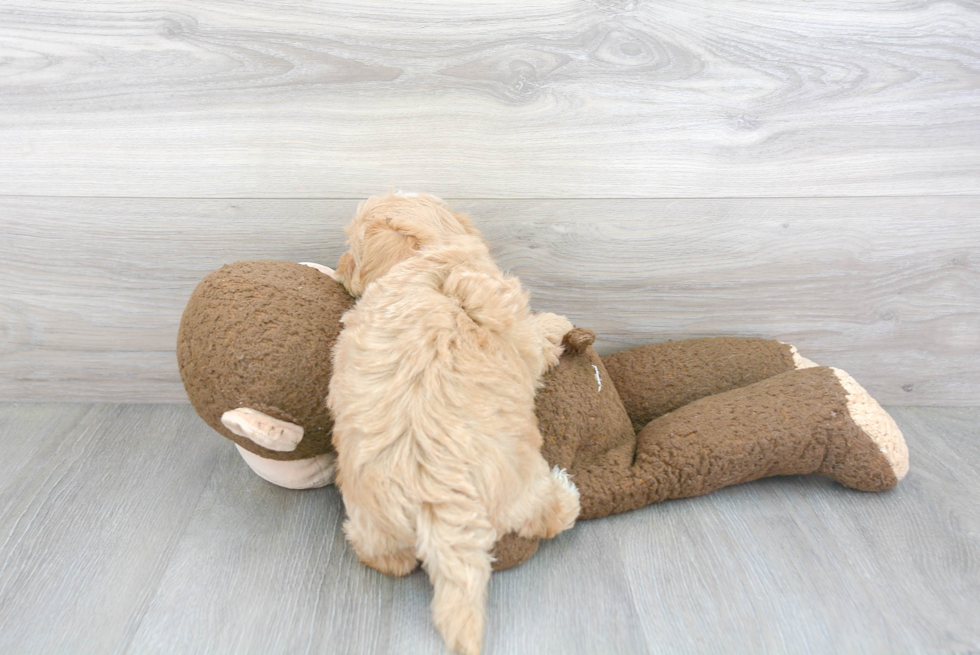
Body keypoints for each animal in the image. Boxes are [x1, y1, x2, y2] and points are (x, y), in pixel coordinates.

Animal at [330, 192, 580, 655]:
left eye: (352, 251)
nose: (339, 265)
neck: (431, 255)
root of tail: (438, 499)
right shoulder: (517, 329)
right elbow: (538, 338)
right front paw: (557, 323)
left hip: (373, 522)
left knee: (386, 558)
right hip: (522, 484)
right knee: (545, 514)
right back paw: (566, 495)